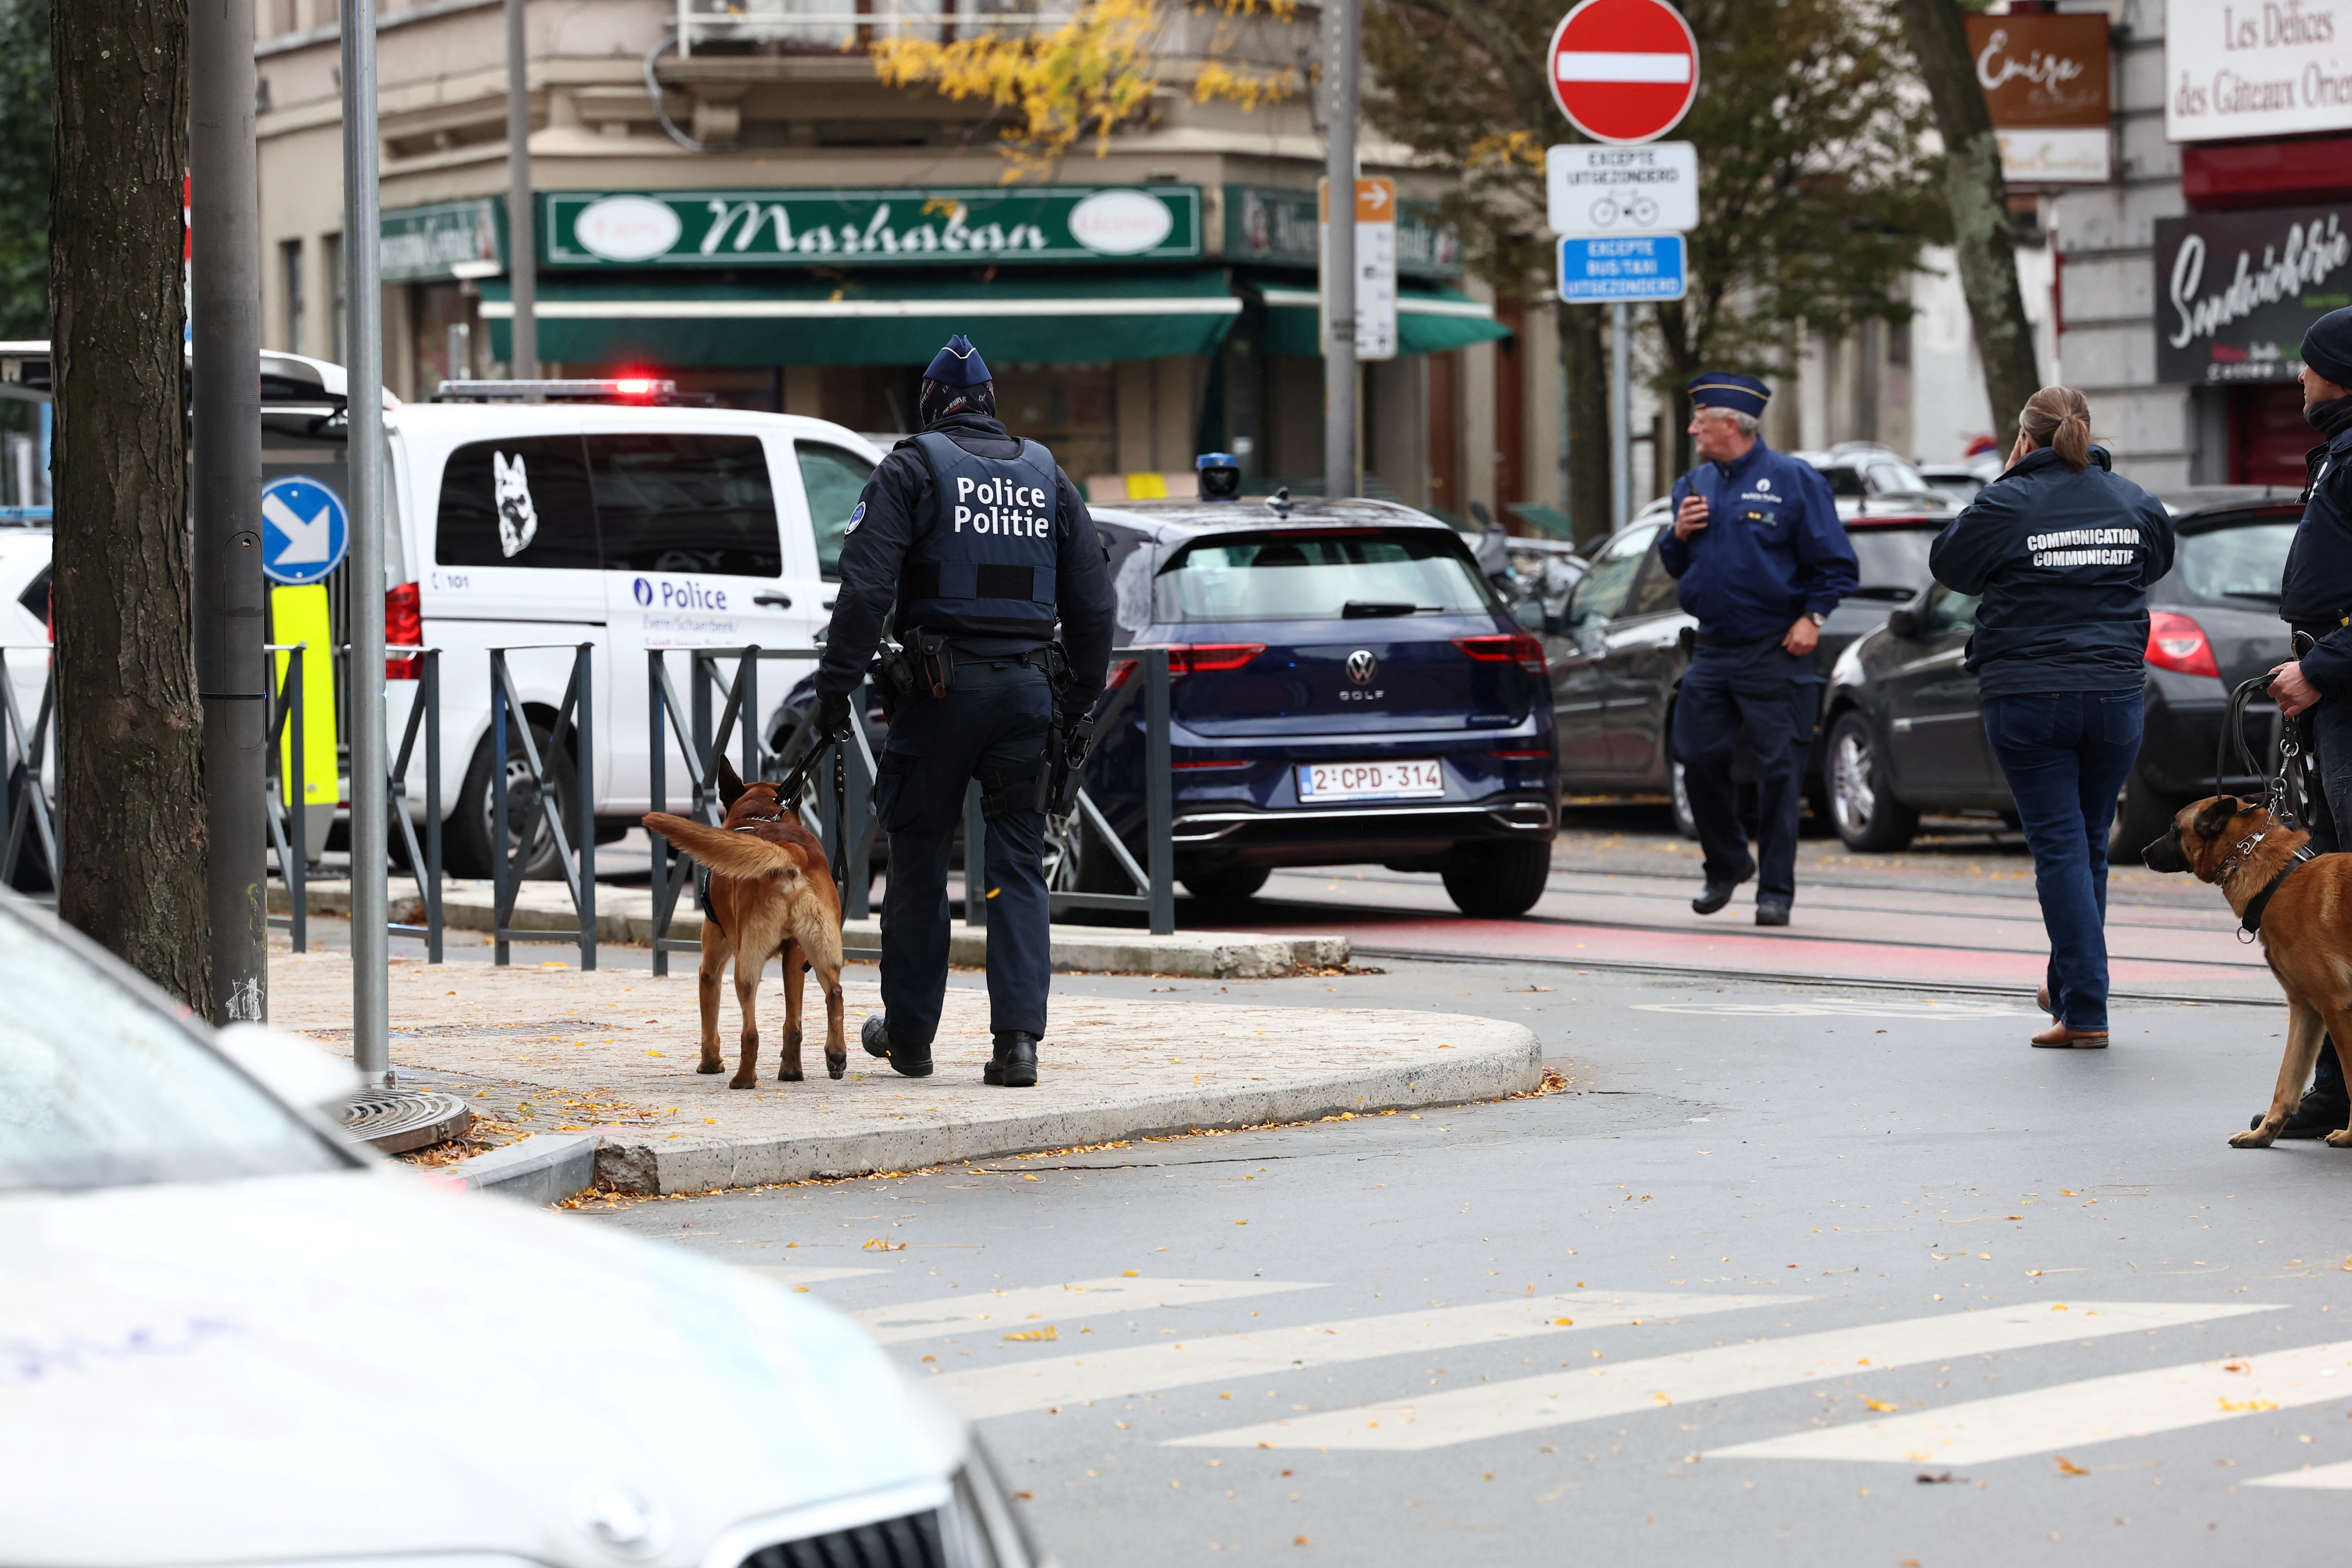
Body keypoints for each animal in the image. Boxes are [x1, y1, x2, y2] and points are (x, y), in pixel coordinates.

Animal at [644, 762, 847, 1091]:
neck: (759, 816)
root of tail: (790, 850)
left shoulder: (710, 967)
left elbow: (709, 1018)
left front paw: (710, 1064)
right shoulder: (794, 957)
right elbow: (793, 1021)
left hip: (746, 964)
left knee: (750, 1031)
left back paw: (743, 1079)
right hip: (821, 953)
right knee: (832, 997)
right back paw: (823, 1060)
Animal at [2145, 799, 2343, 1152]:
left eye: (2174, 828)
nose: (2142, 852)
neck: (2278, 881)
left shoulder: (2337, 1009)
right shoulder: (2307, 1010)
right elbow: (2286, 1081)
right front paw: (2264, 1133)